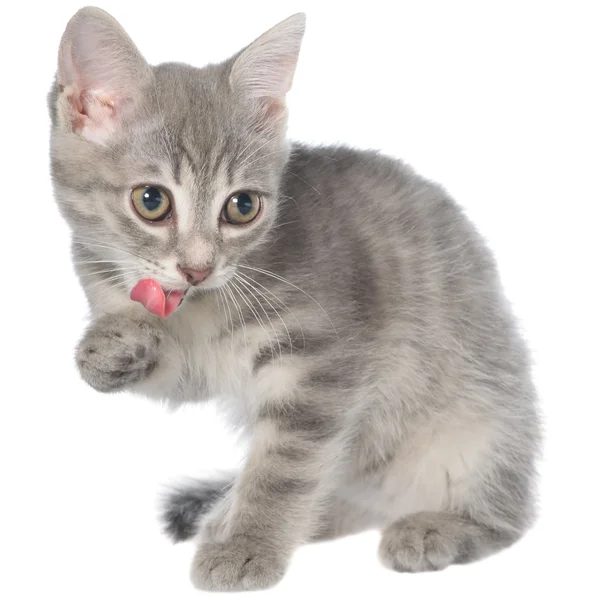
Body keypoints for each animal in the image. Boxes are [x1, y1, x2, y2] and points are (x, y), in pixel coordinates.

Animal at [49, 7, 540, 592]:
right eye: (151, 200)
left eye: (242, 207)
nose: (198, 268)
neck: (200, 305)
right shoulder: (189, 358)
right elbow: (160, 361)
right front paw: (107, 350)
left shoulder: (321, 366)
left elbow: (285, 467)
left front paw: (250, 545)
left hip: (481, 422)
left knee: (504, 516)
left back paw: (435, 527)